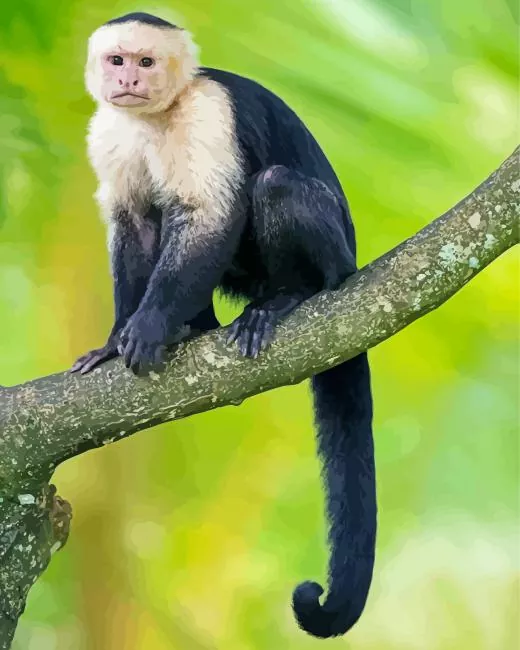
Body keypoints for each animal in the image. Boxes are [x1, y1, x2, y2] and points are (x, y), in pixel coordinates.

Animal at [70, 13, 376, 639]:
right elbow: (133, 220)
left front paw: (150, 325)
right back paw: (196, 325)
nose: (128, 81)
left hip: (337, 255)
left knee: (275, 184)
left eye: (146, 62)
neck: (156, 116)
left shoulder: (207, 112)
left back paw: (287, 298)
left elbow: (210, 214)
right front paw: (117, 340)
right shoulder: (107, 130)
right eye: (118, 61)